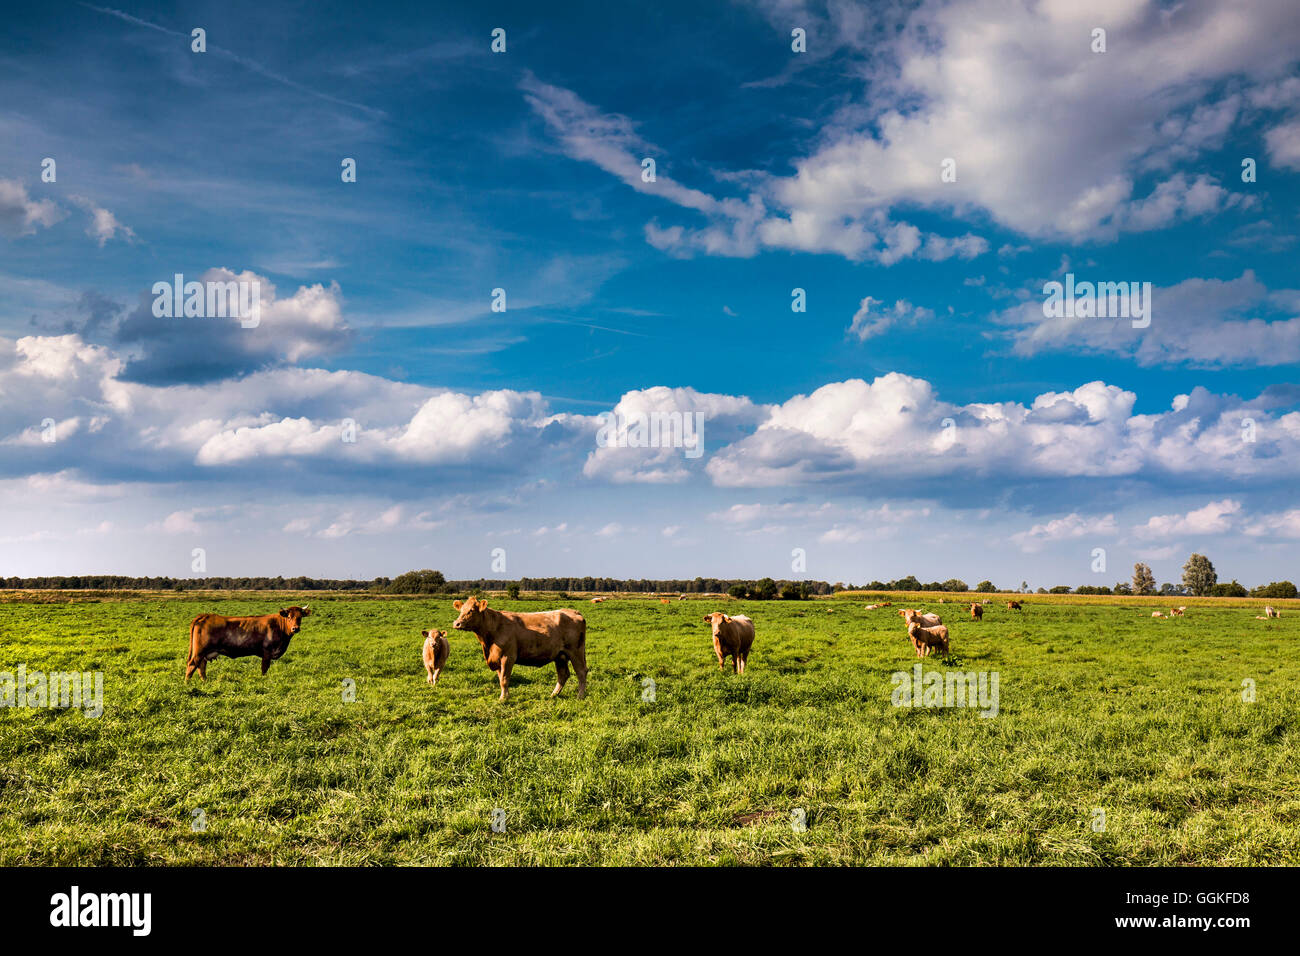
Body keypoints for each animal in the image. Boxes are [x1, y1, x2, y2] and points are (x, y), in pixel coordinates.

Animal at [451, 597, 587, 702]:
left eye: (471, 610)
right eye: (461, 610)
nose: (457, 623)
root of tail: (574, 612)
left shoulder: (507, 657)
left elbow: (504, 679)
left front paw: (503, 699)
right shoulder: (497, 658)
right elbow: (501, 679)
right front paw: (505, 696)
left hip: (576, 651)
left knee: (581, 672)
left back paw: (580, 696)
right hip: (560, 656)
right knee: (563, 674)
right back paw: (553, 695)